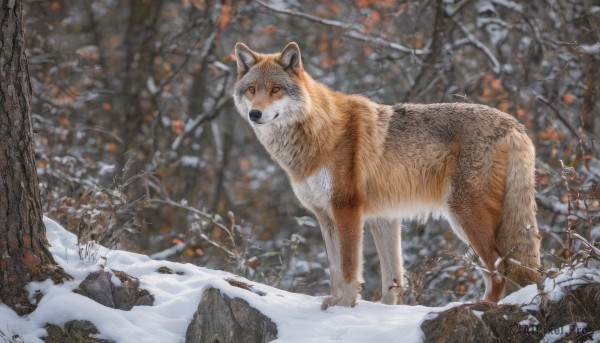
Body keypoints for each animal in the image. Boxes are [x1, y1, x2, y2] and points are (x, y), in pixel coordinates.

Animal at [232, 41, 540, 310]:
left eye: (275, 89)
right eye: (252, 89)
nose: (255, 114)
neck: (318, 132)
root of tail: (515, 125)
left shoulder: (347, 209)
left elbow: (348, 268)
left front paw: (345, 305)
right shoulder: (351, 216)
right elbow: (373, 276)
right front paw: (363, 307)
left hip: (464, 216)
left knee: (500, 266)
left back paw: (482, 306)